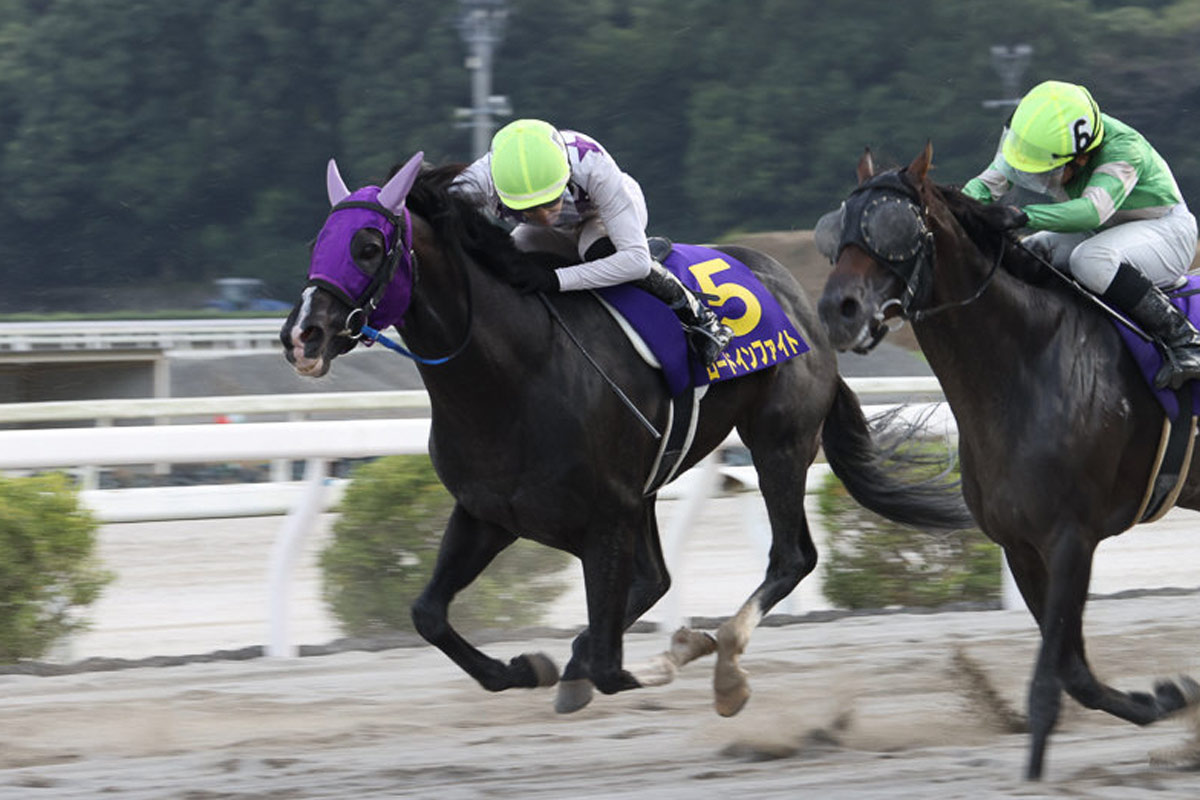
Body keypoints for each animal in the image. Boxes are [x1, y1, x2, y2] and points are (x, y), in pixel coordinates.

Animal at [281, 151, 972, 717]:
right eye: (319, 241)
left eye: (369, 246)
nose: (302, 336)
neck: (513, 375)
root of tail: (801, 299)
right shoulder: (489, 512)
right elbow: (427, 614)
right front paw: (526, 667)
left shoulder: (604, 515)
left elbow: (617, 667)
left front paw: (676, 652)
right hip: (650, 485)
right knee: (655, 581)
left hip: (778, 442)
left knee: (790, 556)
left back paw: (719, 662)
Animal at [818, 142, 1200, 779]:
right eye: (837, 228)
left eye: (893, 228)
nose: (837, 310)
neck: (1029, 362)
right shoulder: (1020, 544)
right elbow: (1073, 671)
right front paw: (1166, 696)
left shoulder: (1072, 537)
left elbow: (1049, 684)